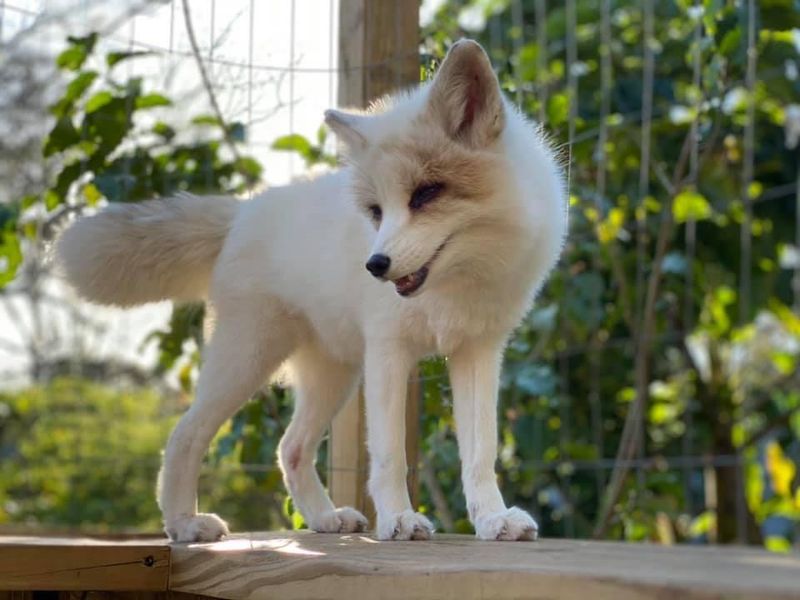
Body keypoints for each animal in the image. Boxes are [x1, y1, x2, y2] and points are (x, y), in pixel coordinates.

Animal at [56, 40, 567, 542]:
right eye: (376, 211)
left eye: (426, 194)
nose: (375, 266)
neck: (456, 284)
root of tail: (245, 210)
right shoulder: (388, 350)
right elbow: (390, 456)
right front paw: (399, 520)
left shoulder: (477, 350)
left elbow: (481, 453)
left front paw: (492, 519)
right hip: (249, 359)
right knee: (185, 434)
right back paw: (184, 525)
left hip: (334, 375)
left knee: (291, 448)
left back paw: (323, 519)